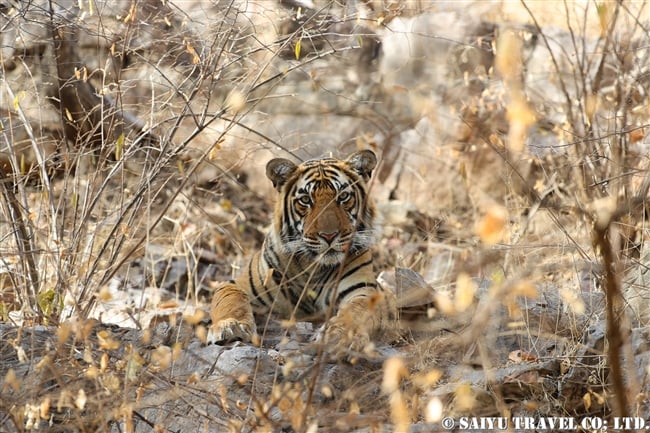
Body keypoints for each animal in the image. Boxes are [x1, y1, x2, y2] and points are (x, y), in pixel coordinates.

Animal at [208, 148, 394, 352]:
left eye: (343, 196)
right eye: (305, 200)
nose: (329, 236)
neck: (313, 266)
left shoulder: (363, 290)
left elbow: (356, 310)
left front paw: (339, 336)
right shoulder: (238, 283)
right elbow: (230, 299)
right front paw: (230, 326)